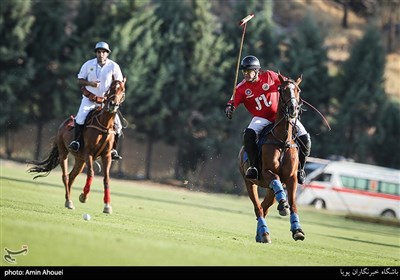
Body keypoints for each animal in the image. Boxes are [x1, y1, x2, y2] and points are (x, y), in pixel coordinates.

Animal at [27, 77, 126, 213]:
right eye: (110, 88)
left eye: (123, 89)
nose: (113, 105)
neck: (104, 124)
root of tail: (64, 123)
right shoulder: (89, 153)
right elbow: (91, 173)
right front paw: (84, 196)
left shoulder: (106, 155)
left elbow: (106, 178)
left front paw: (107, 206)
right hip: (64, 152)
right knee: (65, 176)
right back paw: (69, 201)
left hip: (80, 159)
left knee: (72, 176)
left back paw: (67, 200)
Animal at [239, 74, 304, 243]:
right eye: (282, 90)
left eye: (298, 90)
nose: (293, 109)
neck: (282, 140)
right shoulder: (268, 172)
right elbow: (278, 188)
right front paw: (283, 205)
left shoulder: (291, 178)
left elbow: (293, 203)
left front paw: (297, 230)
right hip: (249, 182)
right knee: (258, 208)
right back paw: (264, 233)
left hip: (269, 189)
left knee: (264, 206)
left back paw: (260, 234)